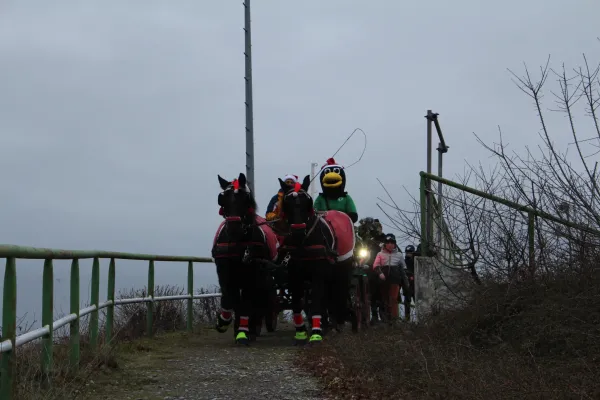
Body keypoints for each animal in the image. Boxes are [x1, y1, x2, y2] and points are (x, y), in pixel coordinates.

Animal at [211, 173, 278, 346]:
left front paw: (242, 332)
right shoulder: (224, 271)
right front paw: (223, 321)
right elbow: (230, 297)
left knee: (258, 299)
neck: (239, 243)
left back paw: (253, 328)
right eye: (222, 198)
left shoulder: (253, 274)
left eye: (245, 198)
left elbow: (247, 301)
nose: (234, 229)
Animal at [278, 175, 356, 344]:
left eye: (307, 202)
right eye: (286, 203)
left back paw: (339, 323)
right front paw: (301, 332)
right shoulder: (294, 276)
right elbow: (296, 303)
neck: (303, 243)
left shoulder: (318, 275)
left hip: (341, 270)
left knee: (339, 294)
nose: (298, 231)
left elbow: (316, 302)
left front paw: (315, 334)